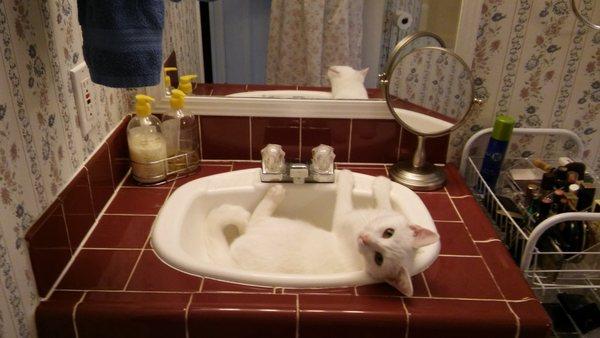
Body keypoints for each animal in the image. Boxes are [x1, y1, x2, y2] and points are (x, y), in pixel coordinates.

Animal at [200, 170, 436, 294]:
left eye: (379, 258)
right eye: (389, 232)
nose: (364, 237)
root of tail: (232, 264)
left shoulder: (342, 216)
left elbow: (346, 193)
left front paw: (349, 177)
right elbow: (383, 202)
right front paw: (381, 184)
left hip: (269, 224)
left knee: (254, 217)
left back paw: (275, 193)